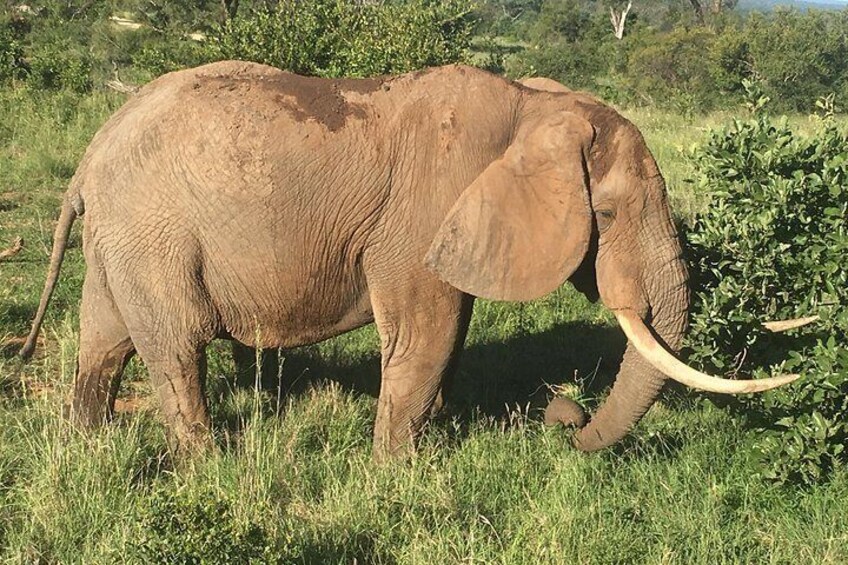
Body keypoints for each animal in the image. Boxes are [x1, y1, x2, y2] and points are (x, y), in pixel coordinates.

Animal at [19, 61, 800, 456]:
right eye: (604, 218)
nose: (562, 417)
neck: (533, 105)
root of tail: (89, 155)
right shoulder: (422, 209)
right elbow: (426, 336)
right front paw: (396, 476)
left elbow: (447, 337)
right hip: (155, 229)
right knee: (177, 347)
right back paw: (206, 470)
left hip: (123, 236)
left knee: (104, 343)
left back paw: (89, 452)